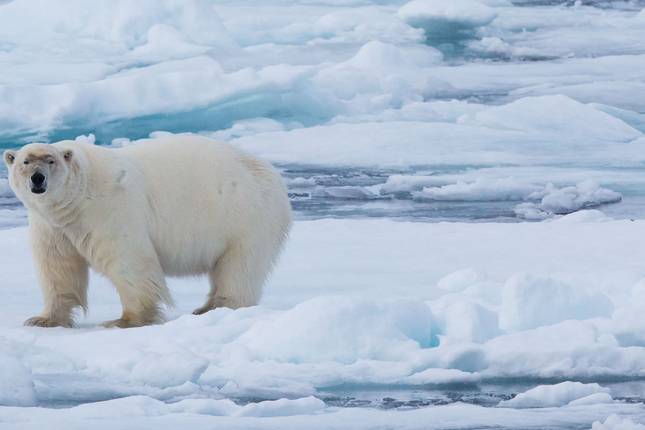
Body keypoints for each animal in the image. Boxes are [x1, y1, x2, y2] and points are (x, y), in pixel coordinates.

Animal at [3, 135, 292, 328]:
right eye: (25, 161)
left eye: (50, 160)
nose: (37, 179)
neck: (78, 195)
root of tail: (274, 175)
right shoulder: (52, 225)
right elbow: (58, 267)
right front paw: (42, 319)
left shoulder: (108, 209)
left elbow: (128, 262)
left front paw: (125, 320)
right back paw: (205, 307)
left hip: (246, 218)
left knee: (239, 267)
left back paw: (218, 306)